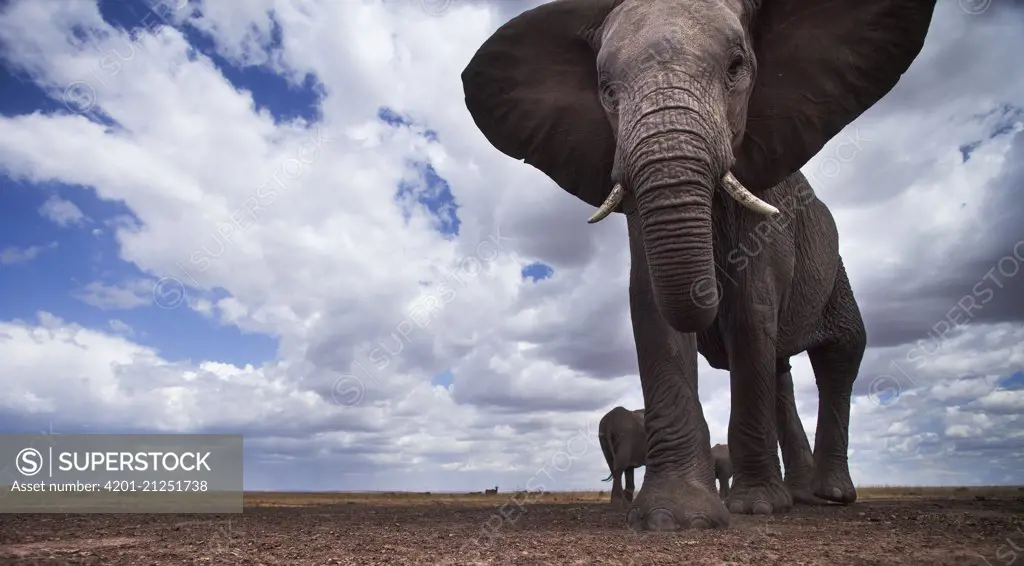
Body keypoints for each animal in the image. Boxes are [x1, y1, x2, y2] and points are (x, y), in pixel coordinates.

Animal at [462, 0, 937, 528]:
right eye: (606, 89)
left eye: (736, 67)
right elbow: (653, 308)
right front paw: (672, 518)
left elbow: (750, 310)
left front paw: (752, 508)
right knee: (780, 367)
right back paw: (796, 497)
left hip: (832, 267)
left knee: (841, 352)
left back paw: (828, 495)